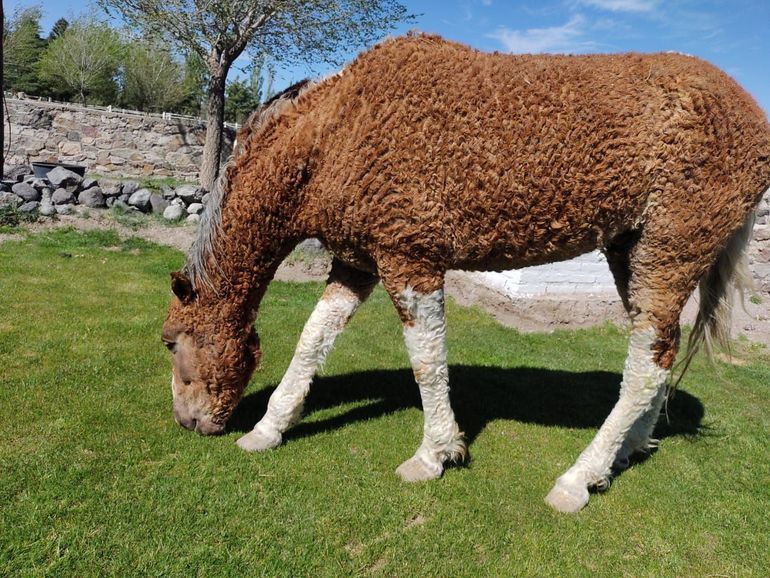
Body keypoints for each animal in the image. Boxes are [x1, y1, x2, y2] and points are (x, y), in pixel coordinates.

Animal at [161, 34, 770, 512]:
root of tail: (752, 119)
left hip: (667, 254)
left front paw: (434, 454)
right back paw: (630, 449)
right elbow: (313, 340)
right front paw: (269, 428)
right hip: (632, 254)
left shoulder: (411, 261)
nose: (188, 423)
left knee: (646, 366)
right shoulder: (356, 264)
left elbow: (427, 361)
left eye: (170, 343)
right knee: (658, 357)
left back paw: (580, 477)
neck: (338, 130)